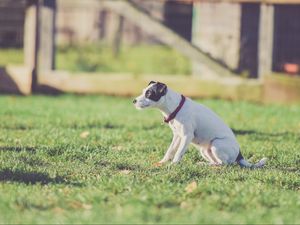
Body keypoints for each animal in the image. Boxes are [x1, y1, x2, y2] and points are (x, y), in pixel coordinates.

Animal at [134, 81, 268, 168]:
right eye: (143, 92)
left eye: (149, 94)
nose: (133, 101)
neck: (175, 107)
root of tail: (239, 155)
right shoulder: (177, 136)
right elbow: (170, 150)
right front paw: (162, 162)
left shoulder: (186, 136)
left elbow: (178, 152)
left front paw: (173, 165)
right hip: (205, 150)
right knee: (217, 162)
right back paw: (204, 164)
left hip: (216, 144)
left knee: (225, 164)